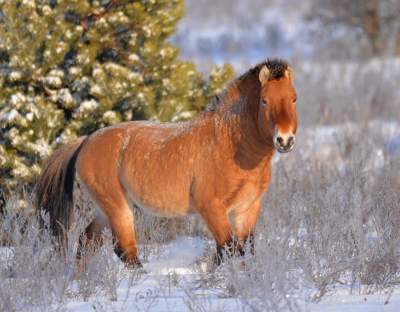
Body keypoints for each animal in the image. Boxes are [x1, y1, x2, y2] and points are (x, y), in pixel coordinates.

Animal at [35, 59, 296, 268]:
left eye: (294, 98)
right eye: (264, 101)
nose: (284, 140)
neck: (231, 145)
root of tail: (85, 141)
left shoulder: (247, 208)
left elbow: (243, 249)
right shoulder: (212, 208)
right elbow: (228, 248)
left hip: (104, 209)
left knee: (87, 241)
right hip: (118, 207)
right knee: (124, 250)